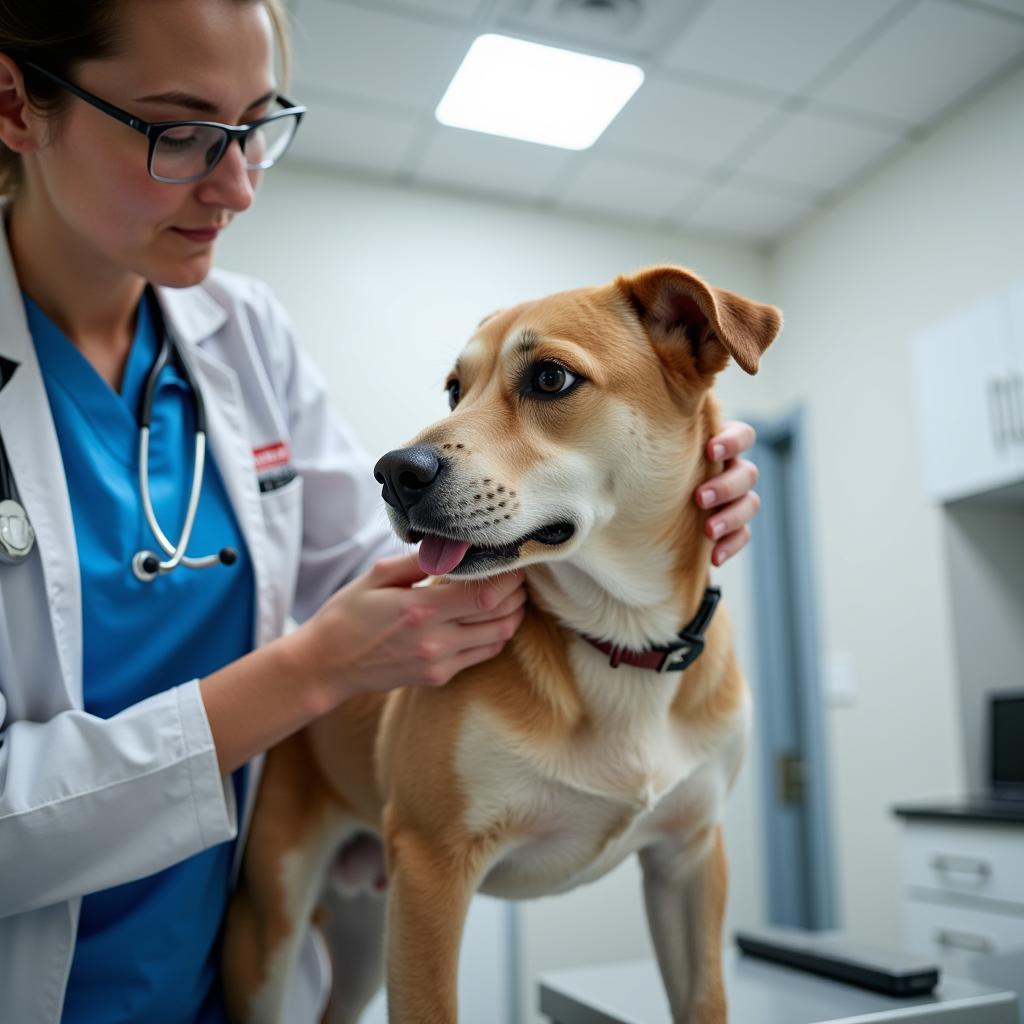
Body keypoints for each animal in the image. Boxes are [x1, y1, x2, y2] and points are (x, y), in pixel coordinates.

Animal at [226, 266, 782, 1024]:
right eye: (454, 389)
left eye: (550, 378)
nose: (393, 472)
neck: (620, 638)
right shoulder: (431, 870)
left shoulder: (689, 862)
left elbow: (703, 997)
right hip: (276, 929)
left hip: (368, 935)